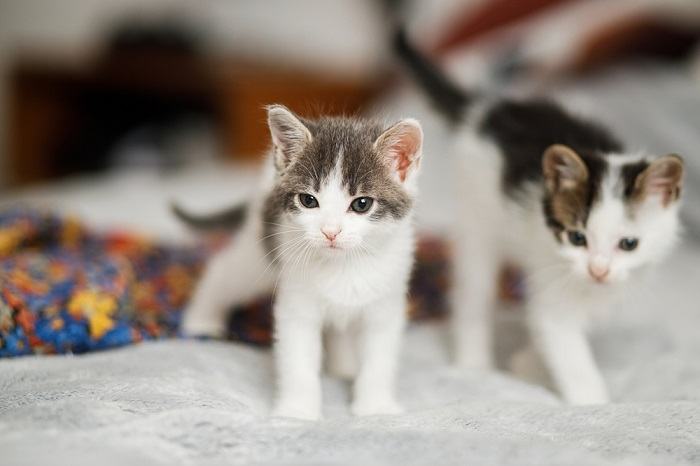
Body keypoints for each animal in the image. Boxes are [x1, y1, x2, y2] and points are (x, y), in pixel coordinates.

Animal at [176, 104, 422, 418]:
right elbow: (298, 360)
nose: (330, 231)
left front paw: (375, 407)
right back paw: (201, 322)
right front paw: (297, 412)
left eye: (362, 204)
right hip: (259, 253)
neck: (344, 266)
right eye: (308, 200)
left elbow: (380, 358)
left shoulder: (386, 302)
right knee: (224, 270)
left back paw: (344, 366)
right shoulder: (297, 302)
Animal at [394, 31, 684, 404]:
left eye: (629, 244)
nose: (598, 270)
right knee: (474, 290)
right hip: (478, 216)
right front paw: (593, 402)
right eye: (577, 237)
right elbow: (563, 341)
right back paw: (474, 364)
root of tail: (489, 109)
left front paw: (529, 362)